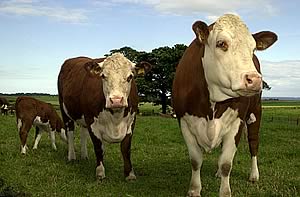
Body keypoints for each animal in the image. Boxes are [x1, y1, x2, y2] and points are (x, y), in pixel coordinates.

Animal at [58, 52, 152, 180]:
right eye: (103, 76)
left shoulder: (131, 121)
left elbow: (126, 148)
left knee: (83, 133)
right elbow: (99, 148)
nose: (116, 100)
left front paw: (130, 174)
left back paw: (84, 155)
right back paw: (71, 156)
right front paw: (100, 173)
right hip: (65, 111)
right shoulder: (91, 121)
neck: (116, 118)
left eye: (130, 77)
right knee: (70, 133)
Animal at [171, 14, 276, 197]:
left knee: (253, 143)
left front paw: (225, 191)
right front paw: (194, 189)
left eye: (253, 49)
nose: (255, 79)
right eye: (221, 43)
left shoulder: (236, 123)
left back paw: (254, 175)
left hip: (256, 113)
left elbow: (227, 163)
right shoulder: (184, 122)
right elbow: (195, 160)